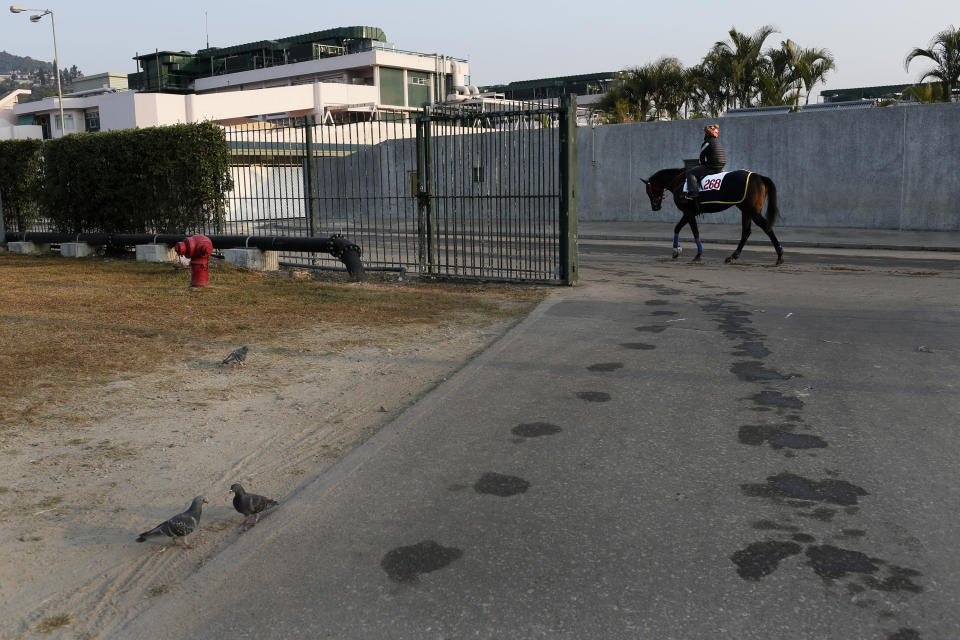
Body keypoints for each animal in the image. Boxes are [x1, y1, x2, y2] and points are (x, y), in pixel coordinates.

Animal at [640, 168, 784, 264]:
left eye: (648, 191)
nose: (655, 207)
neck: (680, 182)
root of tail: (758, 176)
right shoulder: (690, 213)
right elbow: (681, 229)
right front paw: (678, 250)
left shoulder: (688, 212)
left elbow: (692, 231)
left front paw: (694, 254)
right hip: (746, 211)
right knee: (746, 232)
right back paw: (733, 256)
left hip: (752, 211)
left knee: (766, 227)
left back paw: (780, 255)